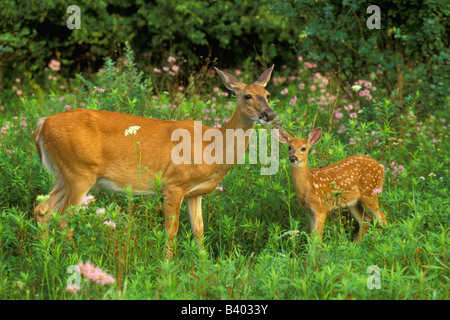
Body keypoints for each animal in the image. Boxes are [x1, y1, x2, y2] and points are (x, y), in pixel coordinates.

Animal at [34, 65, 274, 258]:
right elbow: (171, 231)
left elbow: (199, 231)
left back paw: (46, 256)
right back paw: (70, 258)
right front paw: (167, 268)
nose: (269, 114)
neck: (211, 147)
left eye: (267, 94)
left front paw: (203, 266)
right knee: (63, 217)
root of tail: (41, 125)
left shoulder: (194, 193)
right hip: (79, 172)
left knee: (43, 210)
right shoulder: (173, 184)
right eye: (247, 96)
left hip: (64, 173)